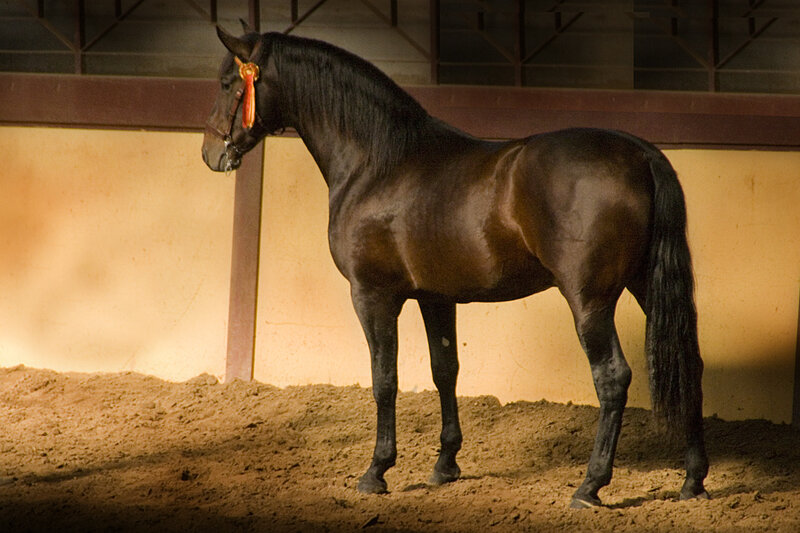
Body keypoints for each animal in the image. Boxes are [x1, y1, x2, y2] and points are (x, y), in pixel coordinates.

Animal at [202, 26, 709, 509]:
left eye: (228, 82)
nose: (210, 153)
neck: (378, 164)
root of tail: (640, 153)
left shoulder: (372, 295)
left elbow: (384, 379)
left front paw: (376, 472)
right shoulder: (436, 298)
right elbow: (445, 369)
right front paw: (445, 465)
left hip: (590, 301)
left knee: (612, 379)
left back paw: (590, 486)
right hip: (645, 287)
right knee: (688, 363)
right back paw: (693, 480)